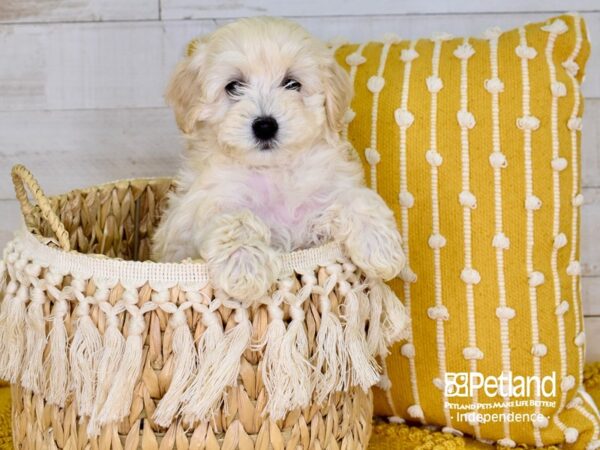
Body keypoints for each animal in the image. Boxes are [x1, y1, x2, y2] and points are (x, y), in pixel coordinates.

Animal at [152, 15, 406, 304]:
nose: (265, 126)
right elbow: (234, 218)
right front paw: (245, 268)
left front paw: (381, 249)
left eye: (292, 83)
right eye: (233, 86)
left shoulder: (326, 191)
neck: (274, 170)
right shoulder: (202, 208)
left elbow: (358, 198)